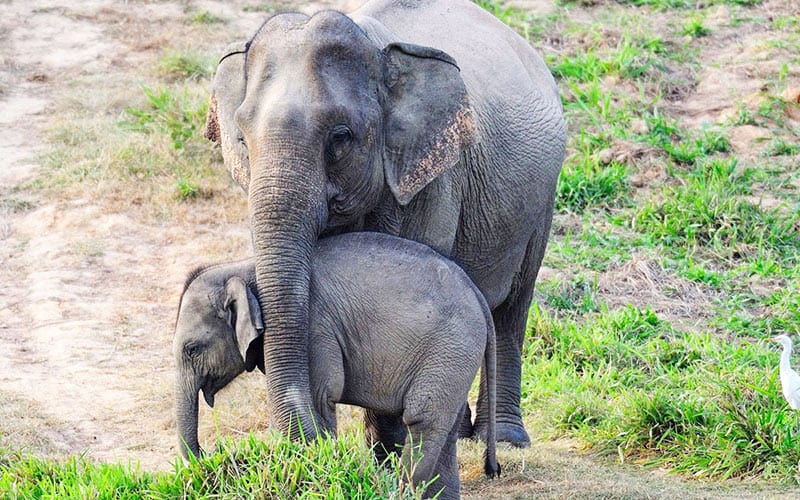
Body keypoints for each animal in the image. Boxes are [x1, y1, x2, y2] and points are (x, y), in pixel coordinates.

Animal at [175, 232, 500, 498]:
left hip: (450, 349)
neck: (244, 269)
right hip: (456, 358)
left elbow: (321, 399)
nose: (212, 454)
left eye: (192, 350)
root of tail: (478, 297)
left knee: (423, 421)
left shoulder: (313, 331)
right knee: (446, 429)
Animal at [203, 0, 564, 448]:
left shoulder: (434, 184)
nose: (311, 441)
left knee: (513, 309)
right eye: (241, 138)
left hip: (541, 200)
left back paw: (502, 439)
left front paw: (384, 453)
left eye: (340, 137)